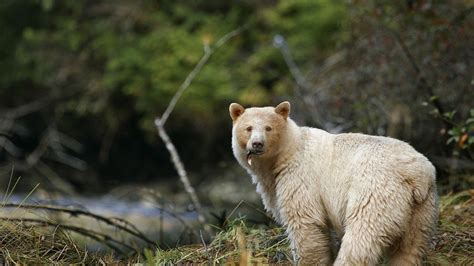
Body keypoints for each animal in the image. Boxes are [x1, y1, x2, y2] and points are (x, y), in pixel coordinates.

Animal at [229, 101, 436, 264]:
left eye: (268, 128)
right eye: (248, 128)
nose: (257, 144)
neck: (286, 153)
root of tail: (417, 174)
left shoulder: (299, 176)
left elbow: (304, 223)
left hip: (376, 191)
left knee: (362, 236)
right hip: (422, 207)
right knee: (410, 247)